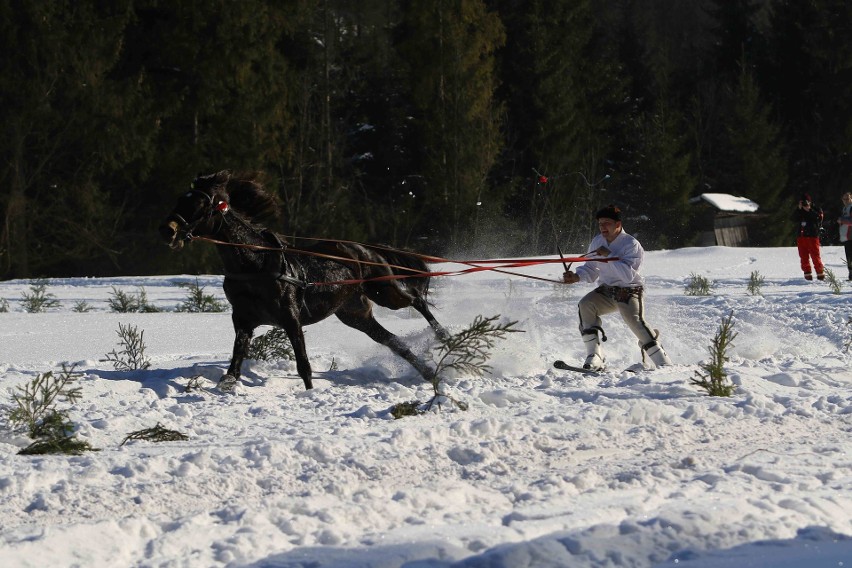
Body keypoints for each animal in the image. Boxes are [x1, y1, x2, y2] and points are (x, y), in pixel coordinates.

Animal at [162, 169, 450, 390]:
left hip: (384, 289)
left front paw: (309, 393)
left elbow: (304, 365)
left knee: (416, 301)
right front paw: (227, 383)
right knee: (394, 342)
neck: (254, 265)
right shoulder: (242, 319)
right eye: (180, 199)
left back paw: (443, 335)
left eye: (201, 205)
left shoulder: (291, 318)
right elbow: (235, 361)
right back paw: (429, 372)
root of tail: (364, 248)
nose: (168, 231)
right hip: (355, 314)